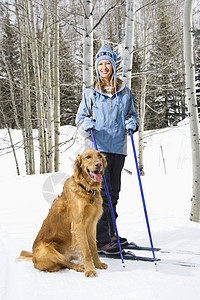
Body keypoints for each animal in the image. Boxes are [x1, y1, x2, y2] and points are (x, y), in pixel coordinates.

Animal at [19, 149, 108, 278]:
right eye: (88, 157)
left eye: (100, 156)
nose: (98, 164)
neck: (85, 189)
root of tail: (33, 257)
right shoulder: (78, 225)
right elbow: (86, 250)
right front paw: (90, 270)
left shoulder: (92, 224)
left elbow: (93, 247)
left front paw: (98, 264)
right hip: (46, 250)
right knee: (64, 262)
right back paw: (78, 266)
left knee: (68, 258)